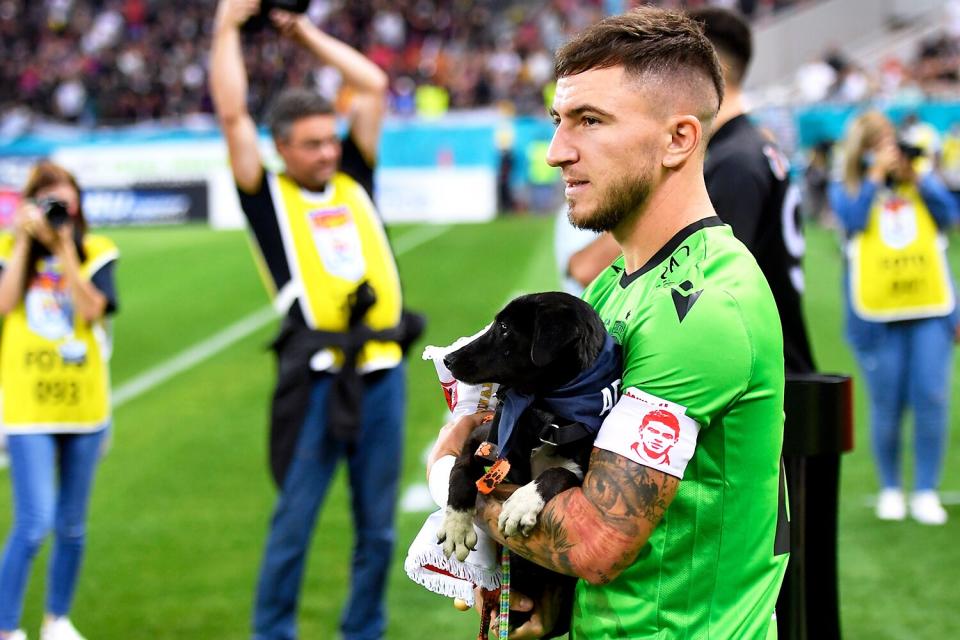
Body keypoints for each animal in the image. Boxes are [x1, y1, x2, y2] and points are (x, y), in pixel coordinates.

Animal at [436, 292, 624, 632]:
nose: (448, 359)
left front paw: (523, 503)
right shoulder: (482, 438)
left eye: (505, 328)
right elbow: (460, 470)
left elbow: (557, 471)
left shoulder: (586, 473)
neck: (543, 411)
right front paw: (456, 525)